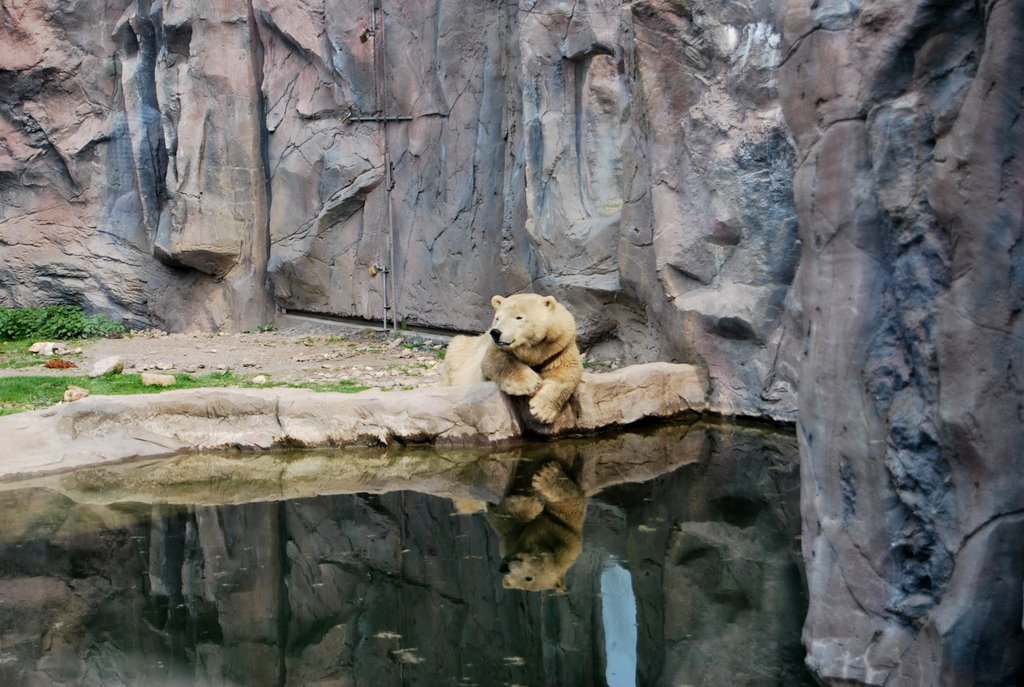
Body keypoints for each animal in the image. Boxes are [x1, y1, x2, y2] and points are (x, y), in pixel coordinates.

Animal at [442, 294, 585, 423]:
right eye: (497, 318)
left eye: (519, 317)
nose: (495, 332)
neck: (535, 350)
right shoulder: (494, 347)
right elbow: (496, 361)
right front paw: (530, 384)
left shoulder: (560, 346)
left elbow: (565, 372)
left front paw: (541, 411)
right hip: (460, 352)